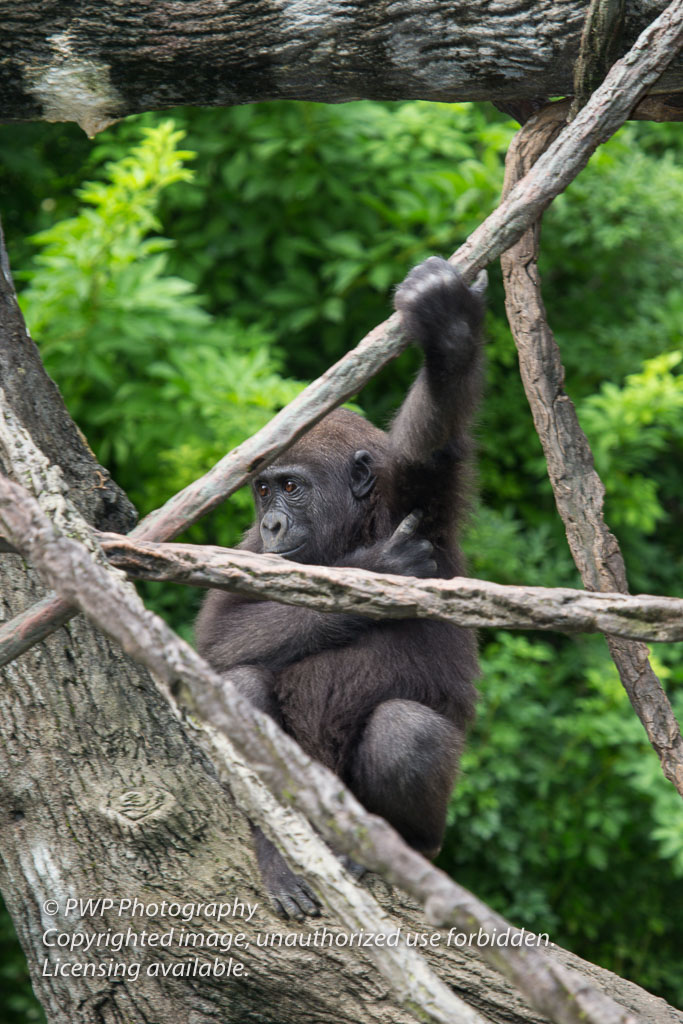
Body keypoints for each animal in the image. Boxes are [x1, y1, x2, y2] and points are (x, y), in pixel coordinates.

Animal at [196, 258, 485, 921]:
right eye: (263, 491)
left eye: (291, 488)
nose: (275, 525)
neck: (353, 527)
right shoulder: (245, 550)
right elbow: (215, 648)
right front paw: (382, 567)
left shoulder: (421, 504)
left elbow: (430, 447)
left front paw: (450, 337)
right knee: (241, 683)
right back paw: (278, 849)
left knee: (408, 731)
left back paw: (401, 849)